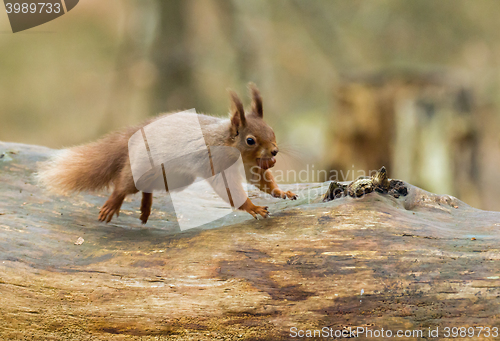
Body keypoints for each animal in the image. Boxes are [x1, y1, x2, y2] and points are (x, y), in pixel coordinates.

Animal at [39, 83, 296, 223]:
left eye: (271, 130)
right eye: (250, 140)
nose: (274, 151)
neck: (227, 143)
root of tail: (136, 133)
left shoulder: (251, 165)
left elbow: (261, 180)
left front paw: (281, 191)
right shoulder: (215, 162)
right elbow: (229, 190)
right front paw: (254, 208)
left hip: (177, 178)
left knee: (147, 187)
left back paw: (145, 208)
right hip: (144, 165)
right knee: (123, 184)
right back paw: (113, 204)